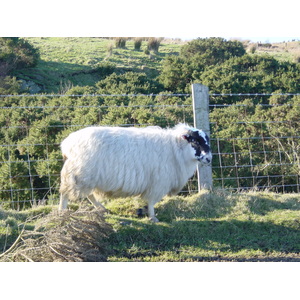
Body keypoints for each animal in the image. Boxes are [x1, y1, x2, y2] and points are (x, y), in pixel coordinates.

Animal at [58, 123, 212, 221]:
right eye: (195, 141)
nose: (209, 158)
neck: (175, 148)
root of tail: (66, 144)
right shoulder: (158, 182)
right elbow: (151, 201)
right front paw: (153, 217)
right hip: (79, 173)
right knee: (66, 193)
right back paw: (62, 211)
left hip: (87, 176)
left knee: (89, 194)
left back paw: (102, 208)